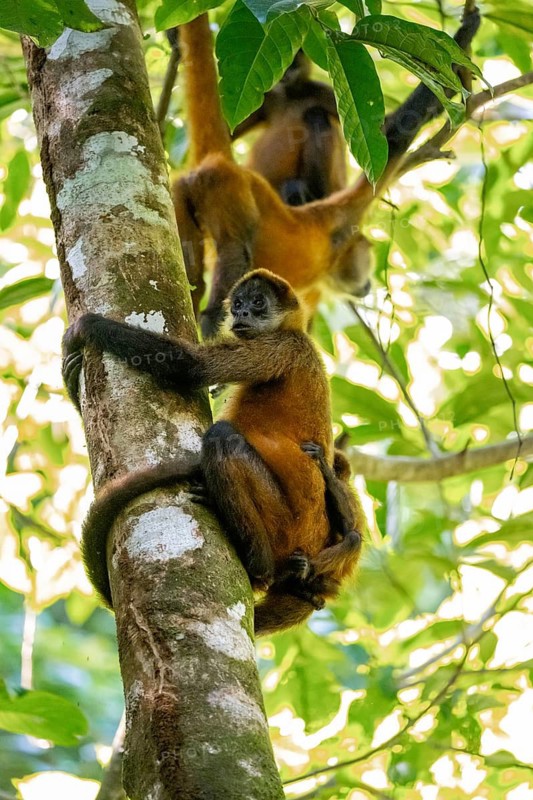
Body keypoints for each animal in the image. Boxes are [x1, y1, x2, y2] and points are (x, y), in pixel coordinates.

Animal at [63, 269, 366, 635]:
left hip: (284, 523)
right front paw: (70, 375)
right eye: (238, 304)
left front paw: (87, 326)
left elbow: (194, 367)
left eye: (258, 302)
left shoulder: (281, 347)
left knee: (221, 437)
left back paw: (258, 565)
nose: (242, 314)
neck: (296, 333)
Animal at [232, 50, 347, 207]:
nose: (285, 73)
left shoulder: (322, 92)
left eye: (293, 63)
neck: (294, 95)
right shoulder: (270, 98)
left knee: (316, 115)